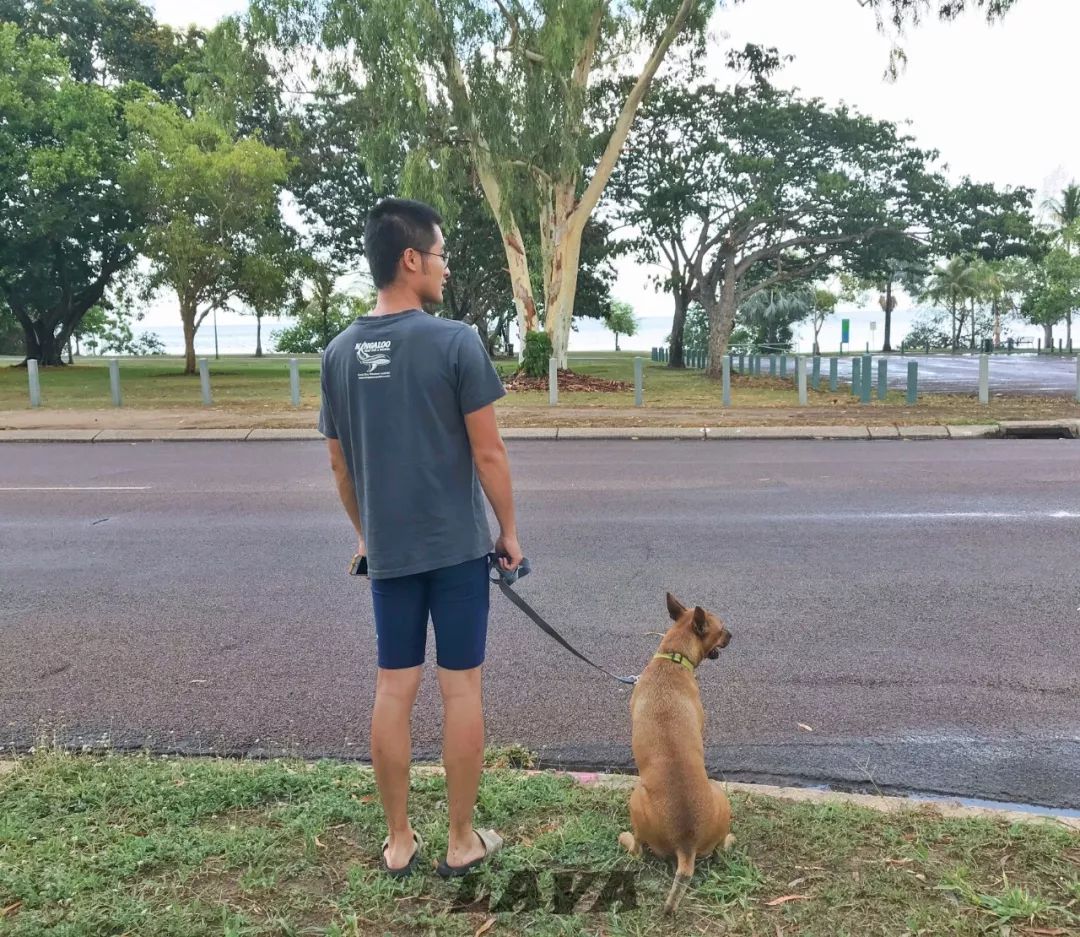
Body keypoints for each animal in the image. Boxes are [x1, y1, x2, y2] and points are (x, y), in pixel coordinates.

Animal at [617, 591, 734, 915]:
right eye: (721, 629)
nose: (732, 635)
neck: (673, 657)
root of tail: (686, 844)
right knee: (719, 849)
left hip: (636, 799)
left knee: (637, 850)